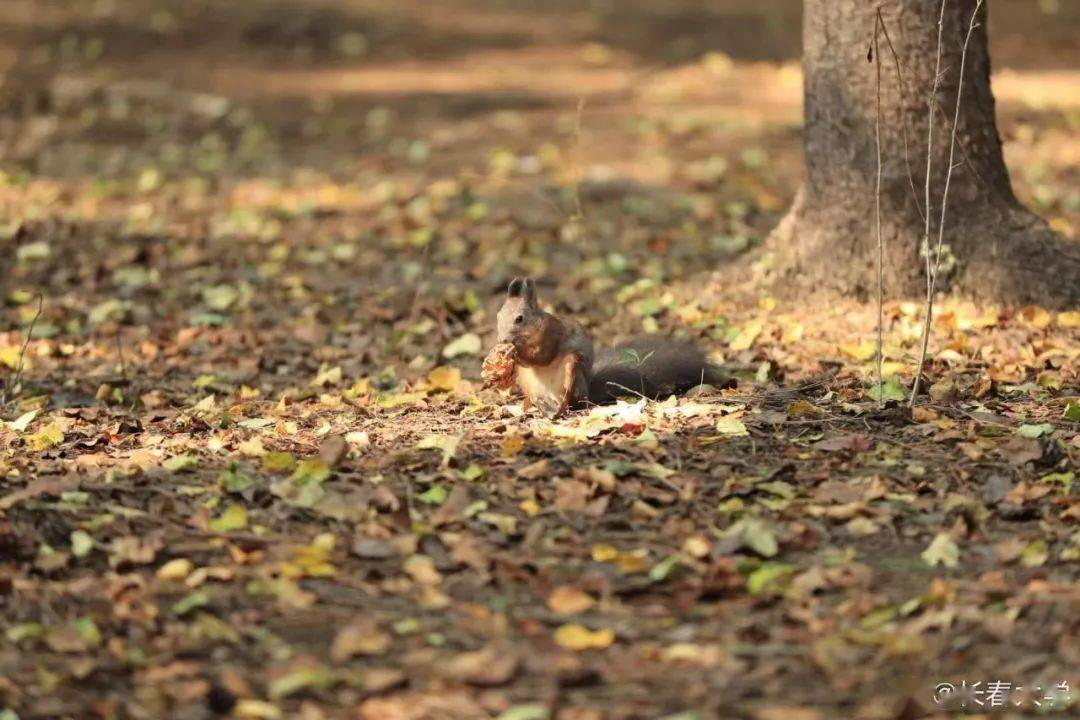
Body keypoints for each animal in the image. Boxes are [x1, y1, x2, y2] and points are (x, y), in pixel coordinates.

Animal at [483, 278, 725, 418]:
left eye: (519, 319)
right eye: (498, 316)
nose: (502, 339)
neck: (534, 329)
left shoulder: (553, 334)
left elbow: (543, 355)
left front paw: (514, 352)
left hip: (572, 369)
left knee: (571, 401)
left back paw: (557, 409)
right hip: (527, 381)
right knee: (535, 397)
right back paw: (530, 405)